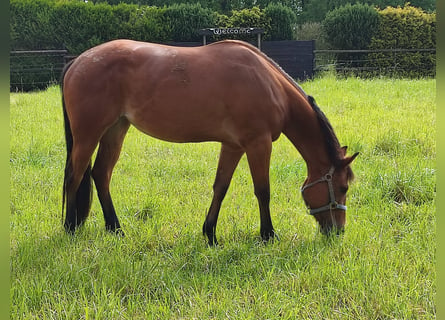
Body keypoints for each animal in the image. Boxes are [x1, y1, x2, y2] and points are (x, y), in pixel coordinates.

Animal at [61, 39, 358, 245]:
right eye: (342, 187)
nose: (338, 231)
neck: (269, 83)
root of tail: (77, 62)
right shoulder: (258, 143)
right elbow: (263, 191)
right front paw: (268, 235)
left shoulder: (233, 146)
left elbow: (220, 187)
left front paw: (210, 234)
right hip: (88, 135)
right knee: (74, 177)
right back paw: (69, 229)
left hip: (115, 130)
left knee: (101, 174)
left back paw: (116, 229)